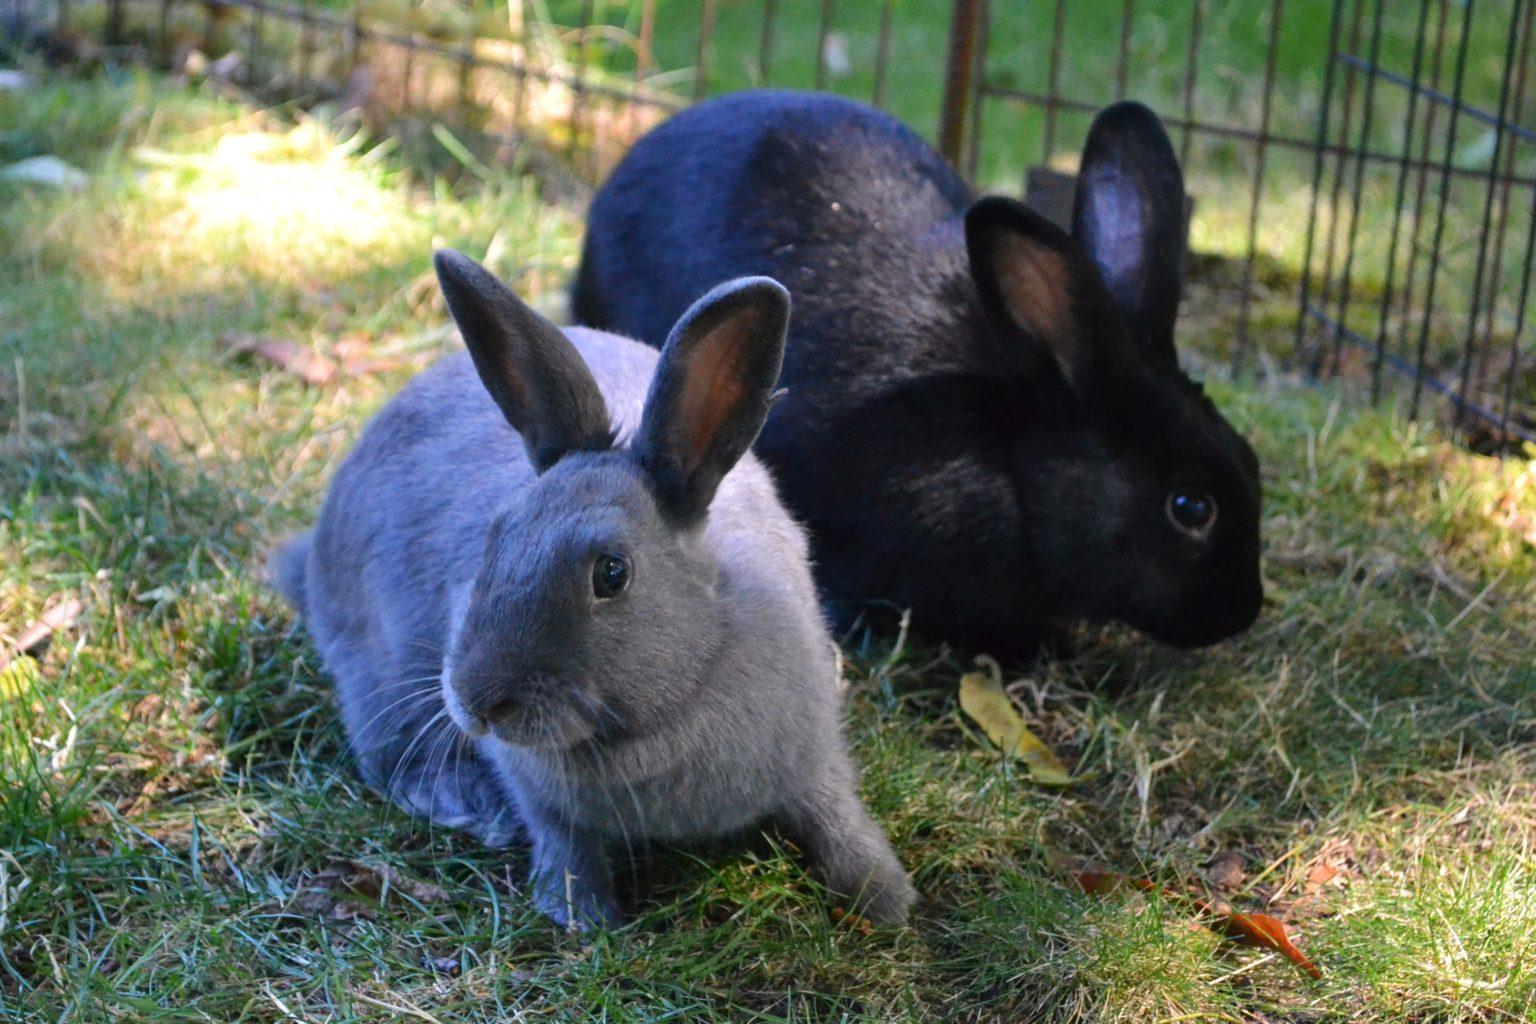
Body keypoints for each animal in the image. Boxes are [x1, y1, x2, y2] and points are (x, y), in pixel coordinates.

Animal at [270, 250, 914, 930]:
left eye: (612, 573)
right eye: (495, 536)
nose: (478, 703)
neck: (659, 715)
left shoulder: (813, 756)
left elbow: (837, 818)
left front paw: (888, 903)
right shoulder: (540, 796)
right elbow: (564, 840)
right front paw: (583, 916)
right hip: (380, 671)